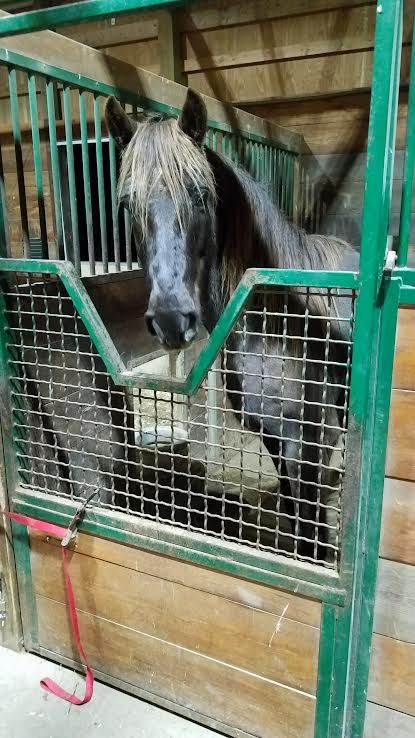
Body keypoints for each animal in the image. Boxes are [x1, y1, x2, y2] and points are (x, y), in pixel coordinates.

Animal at [105, 89, 359, 564]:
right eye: (128, 204)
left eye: (201, 195)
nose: (171, 318)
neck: (273, 325)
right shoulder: (273, 436)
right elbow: (295, 508)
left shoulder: (303, 438)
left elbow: (308, 518)